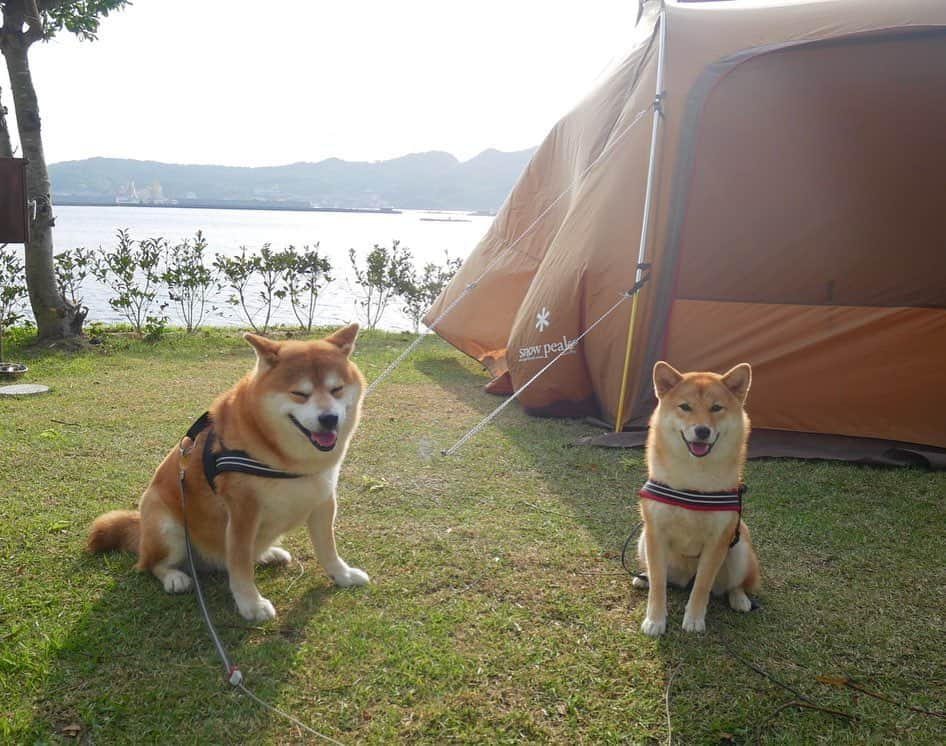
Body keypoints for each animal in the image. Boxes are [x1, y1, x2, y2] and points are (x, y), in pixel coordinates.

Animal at [87, 322, 368, 620]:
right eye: (300, 394)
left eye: (337, 389)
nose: (329, 418)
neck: (286, 459)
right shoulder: (243, 512)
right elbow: (240, 564)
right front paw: (251, 604)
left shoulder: (323, 498)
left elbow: (328, 548)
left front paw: (342, 575)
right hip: (165, 524)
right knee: (151, 565)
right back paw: (174, 577)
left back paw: (269, 554)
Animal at [636, 360, 760, 632]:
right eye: (685, 407)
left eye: (716, 408)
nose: (702, 431)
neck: (693, 479)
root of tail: (684, 578)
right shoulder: (655, 532)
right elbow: (658, 584)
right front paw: (655, 620)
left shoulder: (717, 542)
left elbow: (702, 585)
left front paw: (693, 620)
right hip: (642, 540)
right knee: (660, 576)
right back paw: (643, 577)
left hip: (739, 549)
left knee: (734, 585)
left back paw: (740, 599)